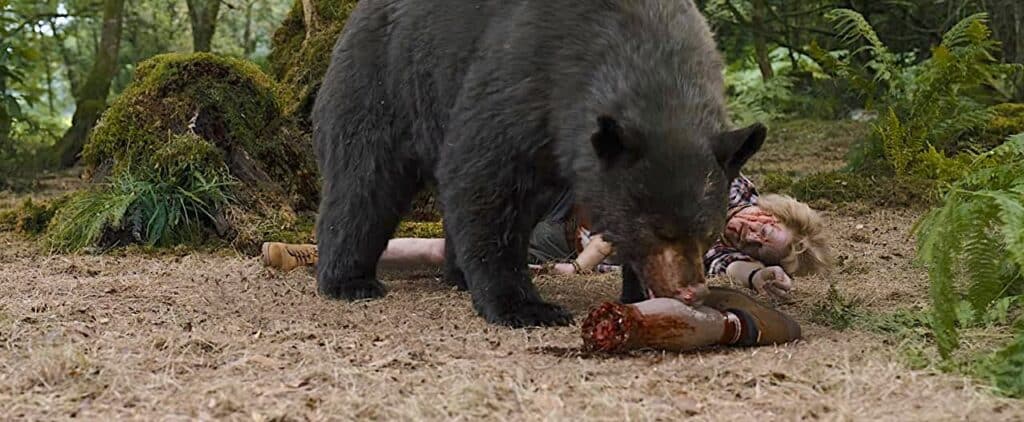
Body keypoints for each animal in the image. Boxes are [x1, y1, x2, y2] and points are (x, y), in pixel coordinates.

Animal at [311, 0, 766, 327]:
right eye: (657, 230)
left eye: (707, 232)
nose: (691, 292)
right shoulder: (525, 78)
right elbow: (485, 183)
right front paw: (524, 307)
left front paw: (636, 293)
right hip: (384, 80)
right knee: (364, 182)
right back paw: (348, 280)